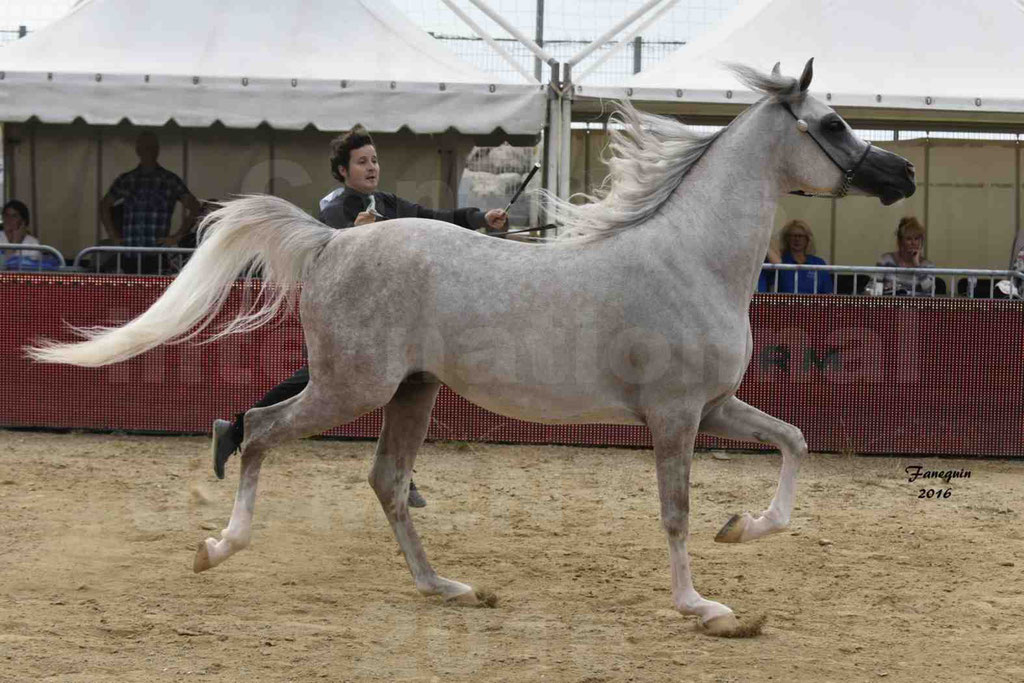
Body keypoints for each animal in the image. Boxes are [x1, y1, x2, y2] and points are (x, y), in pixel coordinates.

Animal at [29, 61, 913, 638]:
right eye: (832, 123)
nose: (901, 173)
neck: (690, 259)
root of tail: (330, 240)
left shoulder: (717, 405)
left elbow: (795, 442)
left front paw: (742, 527)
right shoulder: (674, 416)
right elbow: (675, 511)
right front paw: (703, 605)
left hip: (411, 390)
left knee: (385, 480)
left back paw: (447, 586)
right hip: (351, 387)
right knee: (260, 432)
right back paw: (218, 546)